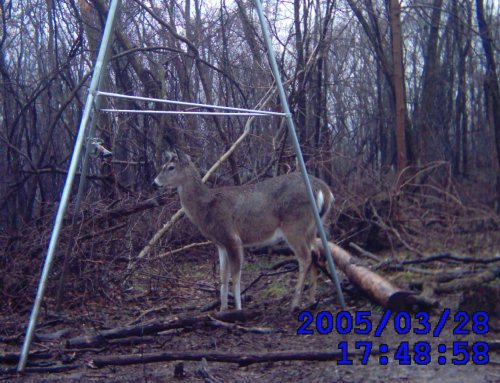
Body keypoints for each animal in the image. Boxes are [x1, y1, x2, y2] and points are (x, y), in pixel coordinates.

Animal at [154, 151, 334, 312]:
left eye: (170, 167)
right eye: (162, 166)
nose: (154, 182)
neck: (206, 208)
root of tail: (325, 190)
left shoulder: (232, 238)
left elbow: (235, 275)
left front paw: (238, 309)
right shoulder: (220, 244)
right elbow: (223, 276)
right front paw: (223, 309)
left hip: (294, 225)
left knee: (305, 257)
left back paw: (294, 304)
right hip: (313, 227)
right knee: (316, 254)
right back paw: (311, 301)